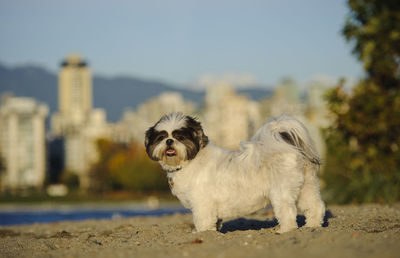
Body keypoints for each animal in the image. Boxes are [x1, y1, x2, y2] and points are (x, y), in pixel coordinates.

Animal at [145, 112, 326, 233]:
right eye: (161, 137)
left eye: (180, 137)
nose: (169, 141)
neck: (190, 161)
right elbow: (215, 221)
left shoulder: (202, 203)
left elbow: (203, 221)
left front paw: (202, 233)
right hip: (307, 186)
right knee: (314, 206)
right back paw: (312, 225)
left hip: (281, 191)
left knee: (287, 211)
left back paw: (285, 229)